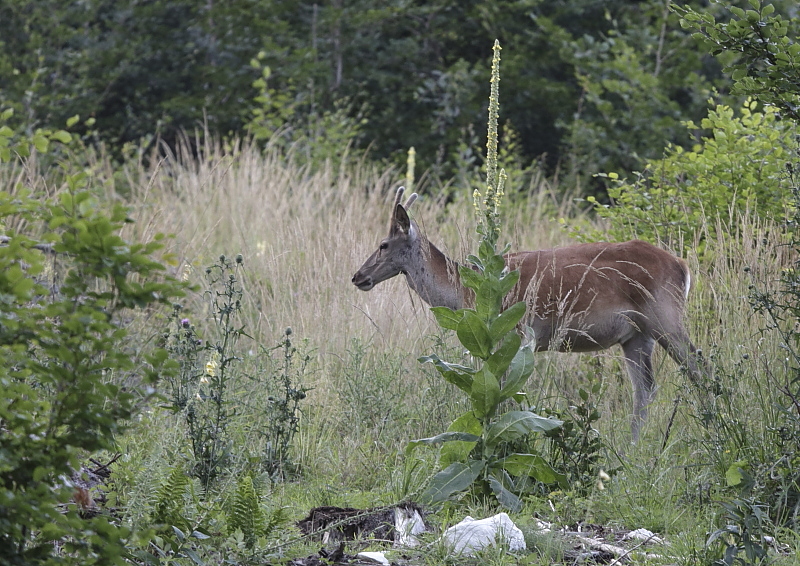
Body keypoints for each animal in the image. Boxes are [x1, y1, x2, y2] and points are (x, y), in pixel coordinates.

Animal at [352, 189, 708, 442]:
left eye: (383, 244)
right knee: (645, 389)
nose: (358, 276)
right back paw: (633, 448)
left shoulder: (517, 331)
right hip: (636, 335)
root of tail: (683, 267)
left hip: (664, 315)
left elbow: (508, 394)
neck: (466, 290)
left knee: (699, 368)